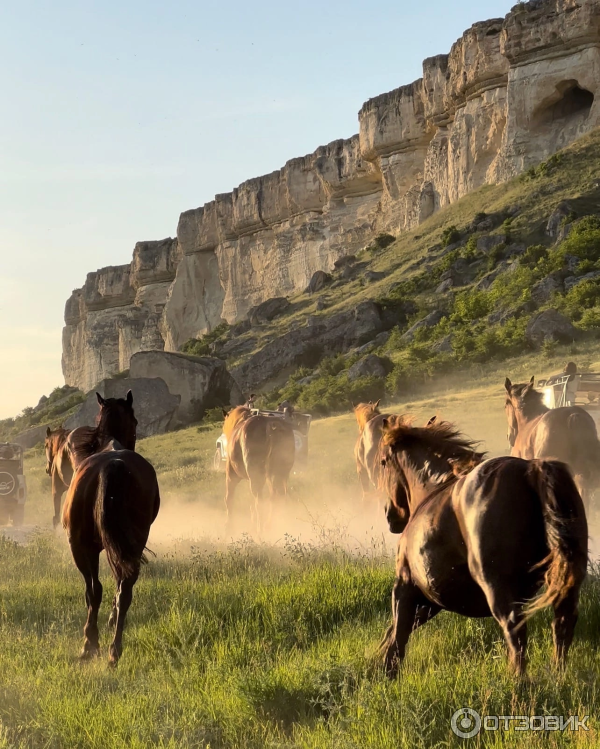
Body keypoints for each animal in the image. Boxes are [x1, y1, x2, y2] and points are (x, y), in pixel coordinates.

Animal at [62, 388, 159, 664]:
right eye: (135, 422)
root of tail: (114, 464)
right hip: (126, 545)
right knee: (122, 589)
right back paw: (113, 649)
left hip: (82, 548)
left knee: (97, 590)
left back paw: (93, 644)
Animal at [223, 404, 296, 532]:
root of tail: (271, 425)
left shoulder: (231, 477)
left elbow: (229, 500)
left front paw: (229, 527)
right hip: (279, 474)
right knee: (278, 496)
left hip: (257, 478)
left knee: (260, 503)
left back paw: (260, 529)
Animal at [380, 418, 584, 676]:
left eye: (383, 462)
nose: (390, 517)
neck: (431, 490)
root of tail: (531, 469)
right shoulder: (431, 600)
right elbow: (394, 633)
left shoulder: (405, 585)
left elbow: (398, 635)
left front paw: (386, 673)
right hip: (565, 580)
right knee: (563, 623)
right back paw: (558, 675)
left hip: (496, 585)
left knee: (514, 628)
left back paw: (517, 679)